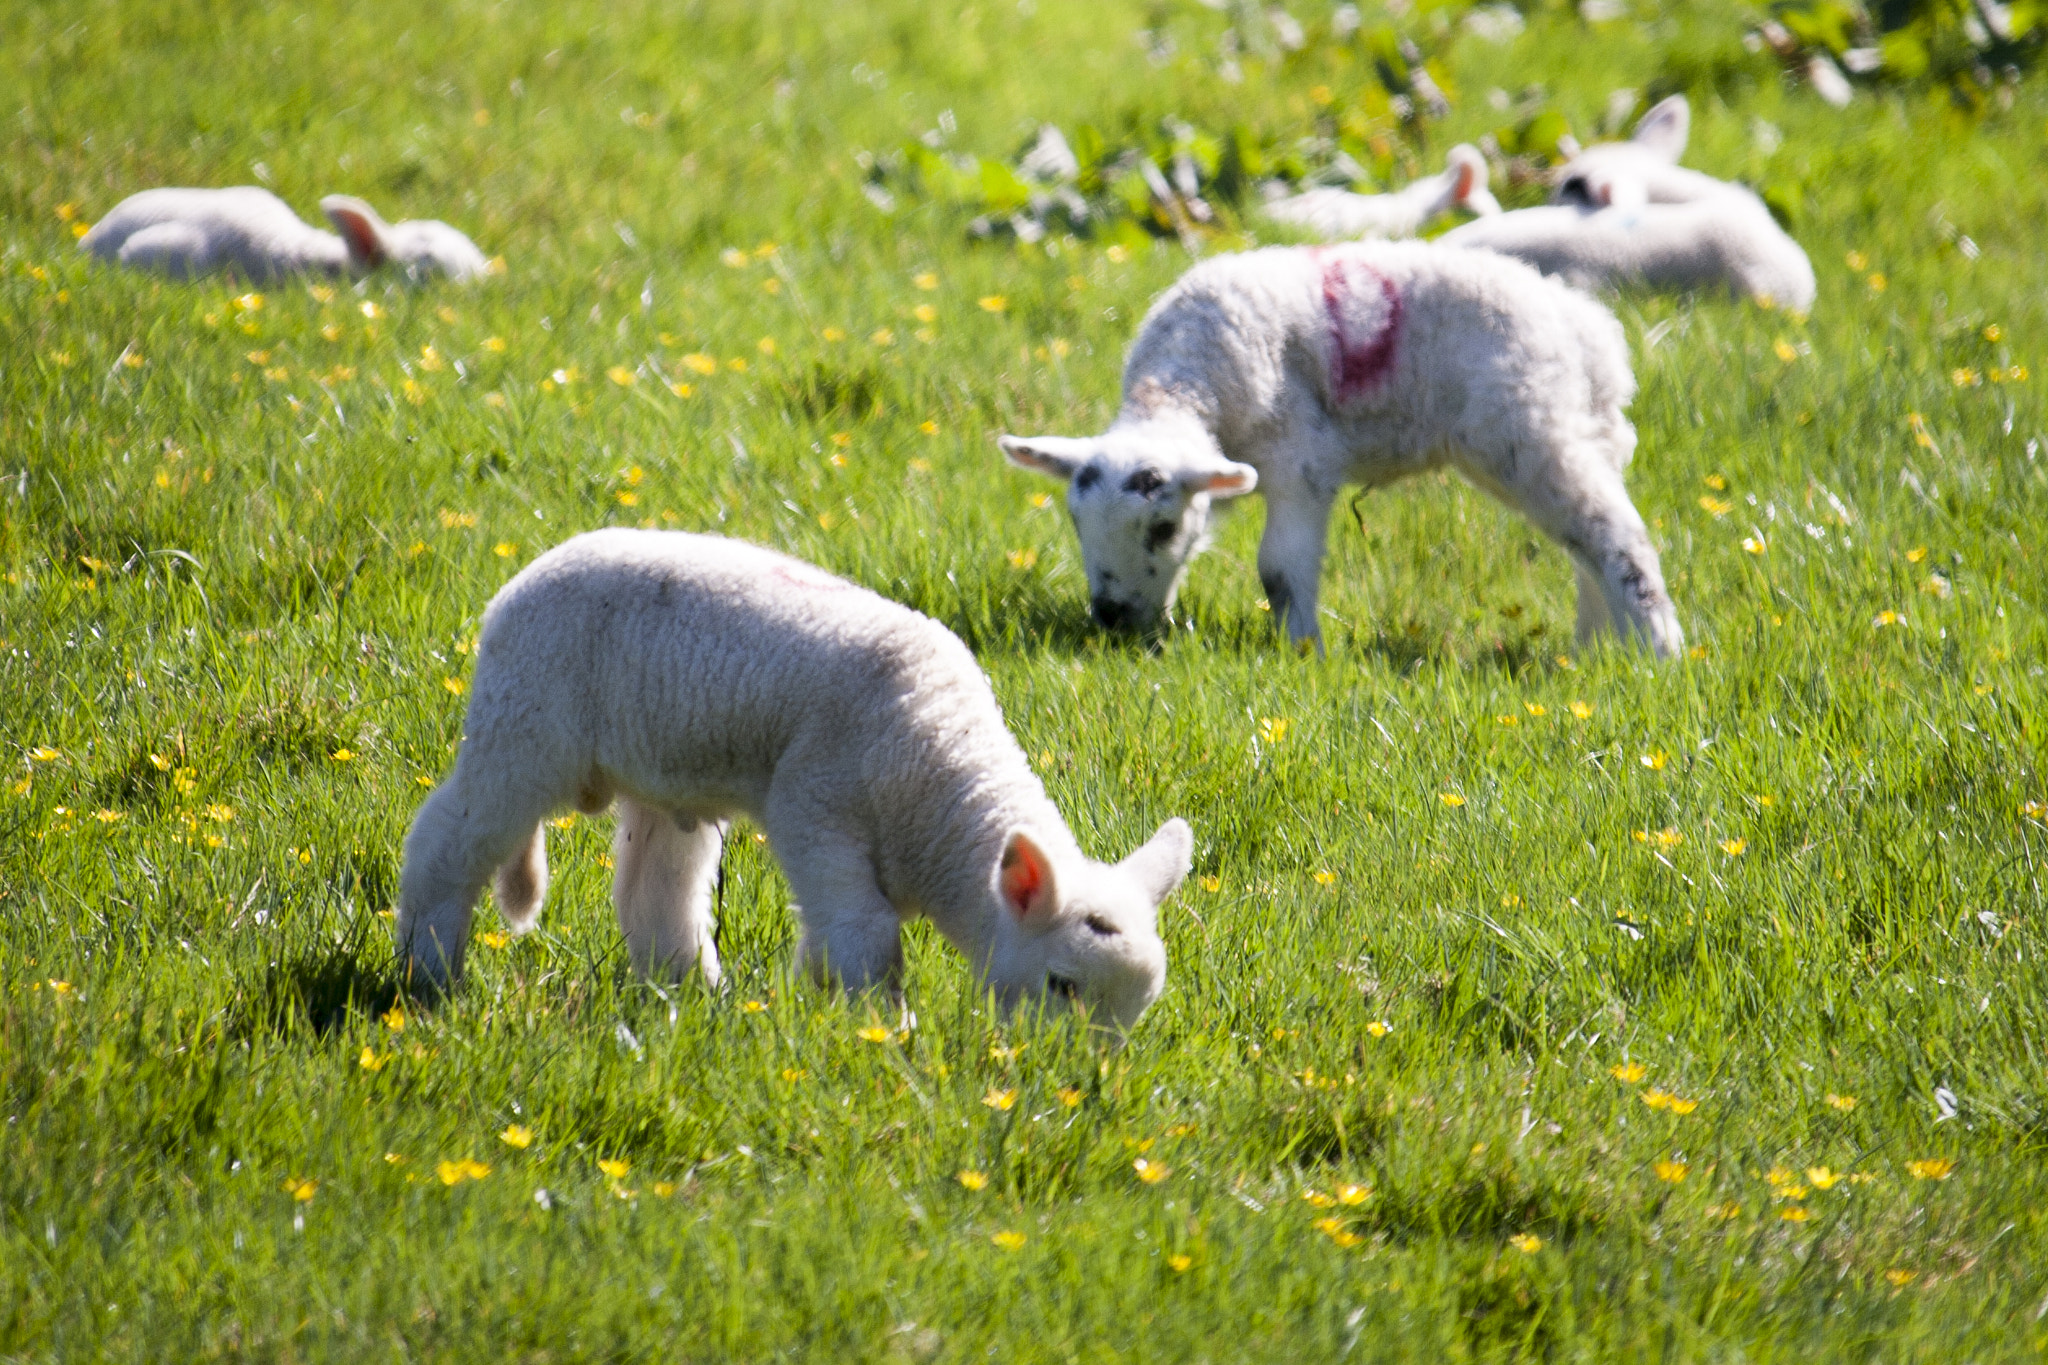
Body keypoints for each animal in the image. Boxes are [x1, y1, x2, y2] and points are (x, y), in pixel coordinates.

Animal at [397, 529, 1193, 1032]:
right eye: (1062, 984)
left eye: (1141, 1004)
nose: (1074, 1082)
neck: (938, 790)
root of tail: (515, 586)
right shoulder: (815, 802)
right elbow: (867, 935)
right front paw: (885, 1029)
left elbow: (836, 938)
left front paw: (829, 1003)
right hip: (523, 727)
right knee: (447, 838)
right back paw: (430, 970)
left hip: (656, 773)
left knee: (656, 888)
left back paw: (689, 989)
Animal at [999, 241, 1684, 658]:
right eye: (1075, 522)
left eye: (1162, 529)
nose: (1112, 616)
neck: (1181, 383)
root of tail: (1591, 333)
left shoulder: (1299, 456)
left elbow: (1279, 569)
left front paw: (1303, 652)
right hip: (1573, 431)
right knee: (1585, 541)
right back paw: (1596, 651)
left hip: (1529, 425)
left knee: (1614, 535)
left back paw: (1659, 654)